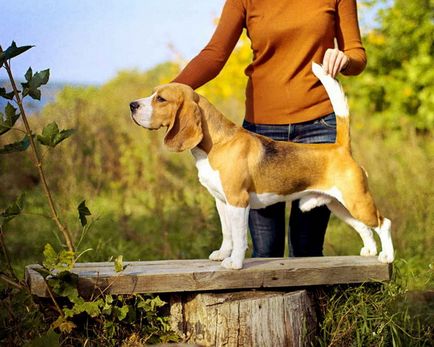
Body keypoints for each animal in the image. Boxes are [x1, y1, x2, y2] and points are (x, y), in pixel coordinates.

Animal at [129, 62, 394, 270]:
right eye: (152, 94)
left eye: (160, 99)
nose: (132, 105)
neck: (218, 143)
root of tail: (340, 147)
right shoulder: (221, 201)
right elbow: (227, 234)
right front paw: (222, 254)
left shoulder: (238, 200)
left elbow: (239, 237)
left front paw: (234, 263)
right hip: (340, 205)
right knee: (364, 227)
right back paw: (370, 251)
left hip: (357, 201)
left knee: (384, 223)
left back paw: (387, 256)